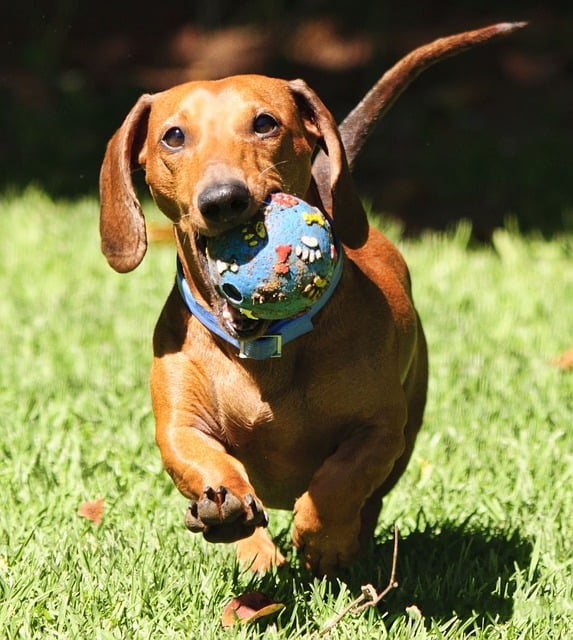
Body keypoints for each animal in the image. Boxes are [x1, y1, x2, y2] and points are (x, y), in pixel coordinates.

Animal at [97, 23, 524, 576]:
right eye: (173, 135)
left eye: (264, 123)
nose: (224, 200)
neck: (264, 346)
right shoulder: (179, 427)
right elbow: (202, 460)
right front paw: (230, 516)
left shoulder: (380, 428)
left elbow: (340, 481)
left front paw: (322, 539)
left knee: (371, 500)